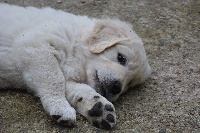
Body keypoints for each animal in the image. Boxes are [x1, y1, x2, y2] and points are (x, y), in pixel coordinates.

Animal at [0, 3, 150, 129]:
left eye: (129, 83)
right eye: (121, 58)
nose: (117, 87)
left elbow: (77, 88)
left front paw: (98, 107)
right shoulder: (35, 45)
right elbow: (54, 79)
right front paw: (60, 107)